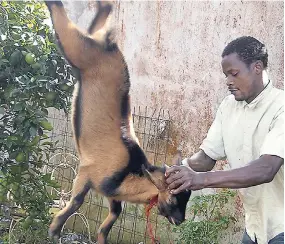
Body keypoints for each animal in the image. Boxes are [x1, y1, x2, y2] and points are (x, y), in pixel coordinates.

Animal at [44, 0, 190, 243]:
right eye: (172, 198)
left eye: (187, 197)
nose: (180, 221)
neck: (127, 174)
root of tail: (108, 45)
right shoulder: (88, 172)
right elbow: (77, 201)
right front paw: (55, 228)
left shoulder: (112, 194)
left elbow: (114, 214)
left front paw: (100, 237)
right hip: (79, 50)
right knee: (63, 21)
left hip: (88, 45)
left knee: (93, 26)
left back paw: (104, 7)